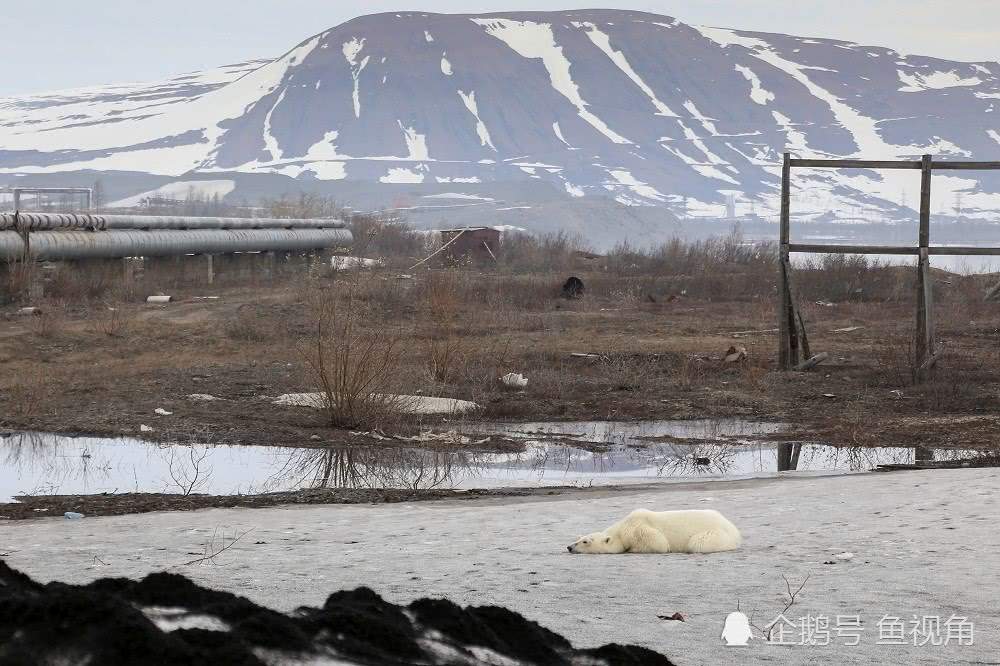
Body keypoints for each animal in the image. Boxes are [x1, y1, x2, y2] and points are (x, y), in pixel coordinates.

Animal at [568, 508, 740, 556]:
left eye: (585, 541)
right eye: (579, 537)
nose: (569, 547)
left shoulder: (640, 529)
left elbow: (660, 543)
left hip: (715, 534)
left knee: (697, 543)